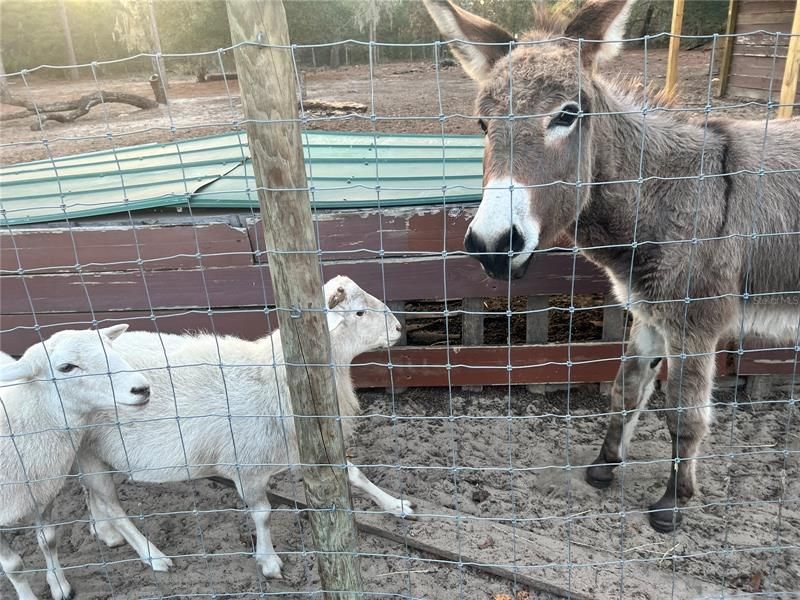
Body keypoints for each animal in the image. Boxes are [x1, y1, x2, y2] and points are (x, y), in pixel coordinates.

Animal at [0, 328, 150, 600]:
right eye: (67, 367)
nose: (142, 388)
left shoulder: (43, 494)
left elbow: (48, 540)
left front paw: (60, 586)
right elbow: (13, 566)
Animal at [76, 276, 412, 576]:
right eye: (359, 313)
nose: (398, 328)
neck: (276, 375)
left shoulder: (303, 446)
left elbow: (355, 474)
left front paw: (396, 505)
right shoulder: (247, 465)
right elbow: (263, 514)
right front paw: (269, 561)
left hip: (88, 452)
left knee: (91, 493)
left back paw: (104, 532)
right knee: (112, 505)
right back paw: (152, 555)